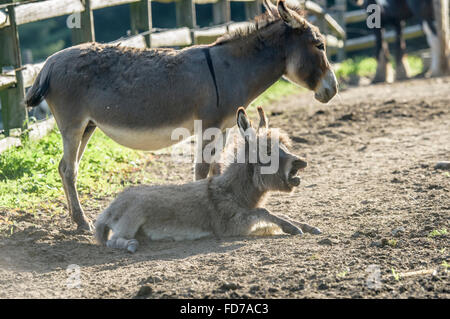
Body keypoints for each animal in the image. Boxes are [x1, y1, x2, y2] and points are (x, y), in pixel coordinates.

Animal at [95, 107, 320, 252]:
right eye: (267, 152)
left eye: (283, 146)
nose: (302, 162)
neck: (231, 191)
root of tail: (108, 210)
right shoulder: (232, 226)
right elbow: (264, 211)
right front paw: (293, 228)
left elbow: (276, 214)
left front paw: (306, 226)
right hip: (131, 220)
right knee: (112, 241)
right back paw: (130, 245)